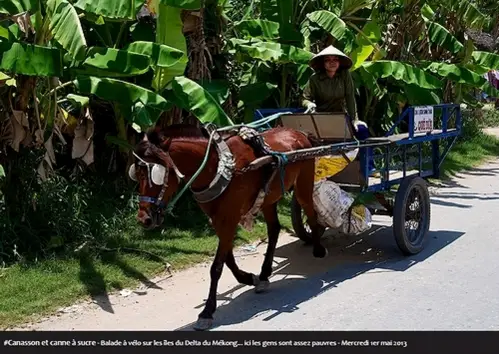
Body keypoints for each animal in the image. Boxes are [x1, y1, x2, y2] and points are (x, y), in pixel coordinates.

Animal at [129, 123, 326, 330]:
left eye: (155, 175)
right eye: (136, 175)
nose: (144, 219)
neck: (218, 168)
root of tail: (298, 132)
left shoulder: (229, 217)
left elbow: (216, 267)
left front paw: (207, 311)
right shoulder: (217, 219)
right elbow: (228, 258)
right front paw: (248, 278)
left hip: (303, 182)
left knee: (310, 212)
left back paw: (318, 248)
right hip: (268, 197)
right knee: (274, 229)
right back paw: (264, 275)